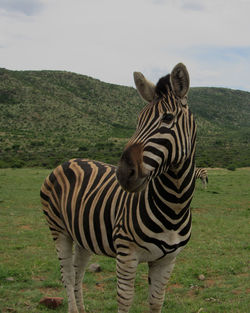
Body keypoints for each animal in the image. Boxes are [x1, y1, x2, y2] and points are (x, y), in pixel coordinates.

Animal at [40, 62, 197, 310]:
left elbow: (156, 302)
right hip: (58, 229)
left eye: (168, 118)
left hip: (82, 235)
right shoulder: (126, 254)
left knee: (78, 272)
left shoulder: (167, 261)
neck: (174, 204)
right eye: (138, 120)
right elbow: (125, 300)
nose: (123, 173)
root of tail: (67, 161)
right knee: (67, 274)